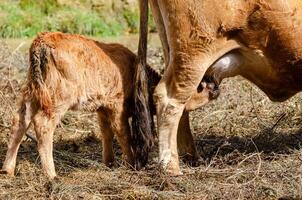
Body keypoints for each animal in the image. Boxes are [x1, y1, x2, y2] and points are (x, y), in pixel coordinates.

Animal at [0, 32, 217, 179]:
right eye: (200, 86)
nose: (215, 86)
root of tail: (43, 41)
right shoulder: (116, 107)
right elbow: (123, 134)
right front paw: (131, 163)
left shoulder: (102, 109)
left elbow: (106, 133)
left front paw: (109, 162)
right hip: (57, 100)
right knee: (43, 126)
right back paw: (51, 174)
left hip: (31, 94)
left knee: (19, 122)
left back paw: (7, 169)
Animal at [136, 0, 302, 175]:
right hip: (194, 53)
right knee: (169, 100)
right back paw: (171, 168)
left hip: (176, 54)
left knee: (181, 105)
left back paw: (191, 157)